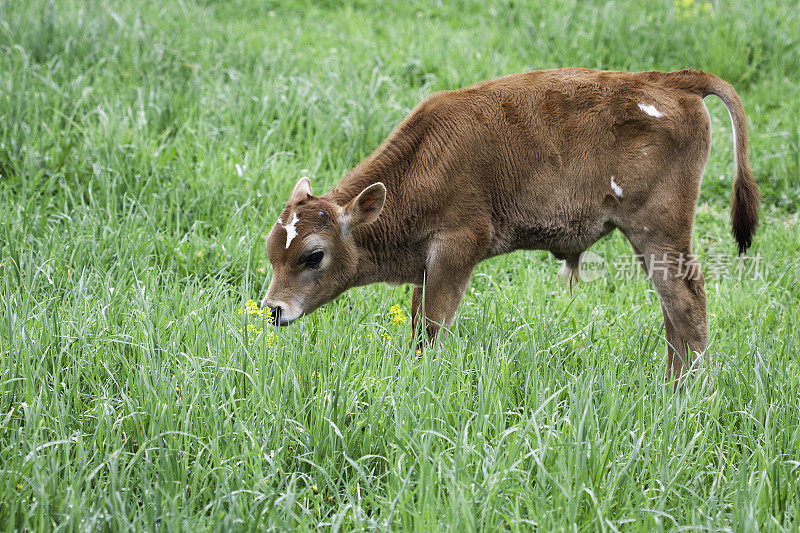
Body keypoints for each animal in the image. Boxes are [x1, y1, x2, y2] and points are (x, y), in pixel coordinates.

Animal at [260, 68, 760, 380]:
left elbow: (433, 327)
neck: (424, 159)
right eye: (272, 251)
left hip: (659, 232)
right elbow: (420, 325)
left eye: (314, 255)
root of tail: (668, 80)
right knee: (672, 311)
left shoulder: (457, 249)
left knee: (687, 305)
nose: (273, 310)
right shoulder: (427, 264)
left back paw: (685, 394)